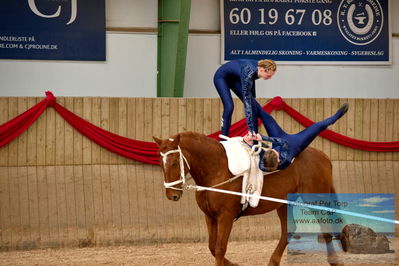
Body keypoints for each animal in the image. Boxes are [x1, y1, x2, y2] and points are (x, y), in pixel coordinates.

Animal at [155, 132, 342, 264]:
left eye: (174, 162)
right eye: (161, 163)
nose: (172, 195)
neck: (216, 169)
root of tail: (323, 156)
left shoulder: (226, 217)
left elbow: (220, 248)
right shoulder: (210, 217)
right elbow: (212, 247)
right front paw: (233, 264)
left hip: (314, 199)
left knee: (325, 229)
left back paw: (334, 260)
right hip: (284, 204)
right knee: (288, 230)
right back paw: (273, 262)